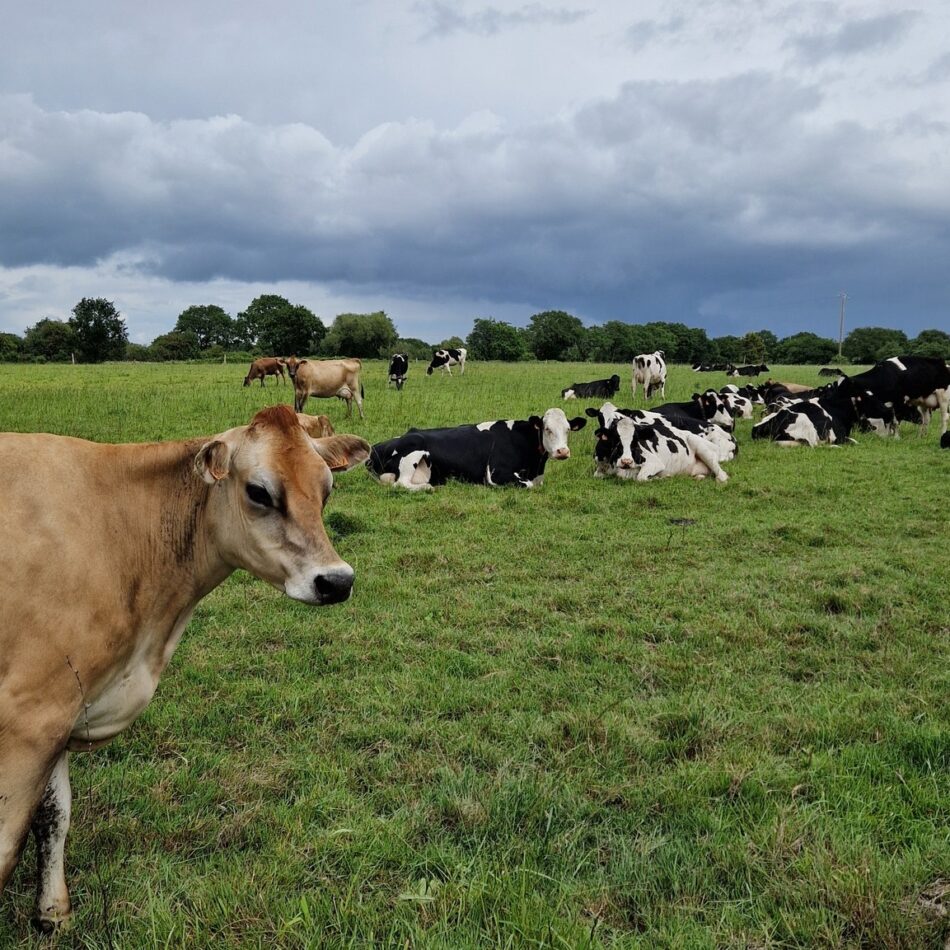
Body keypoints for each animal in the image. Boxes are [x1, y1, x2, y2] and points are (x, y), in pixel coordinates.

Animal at [0, 405, 370, 932]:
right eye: (259, 492)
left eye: (327, 489)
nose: (336, 581)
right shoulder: (29, 715)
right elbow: (8, 844)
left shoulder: (65, 706)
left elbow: (54, 816)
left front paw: (53, 912)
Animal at [367, 408, 586, 490]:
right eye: (547, 429)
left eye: (568, 430)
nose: (563, 451)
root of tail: (375, 447)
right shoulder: (497, 473)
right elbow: (529, 485)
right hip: (412, 451)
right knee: (401, 484)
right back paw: (428, 487)